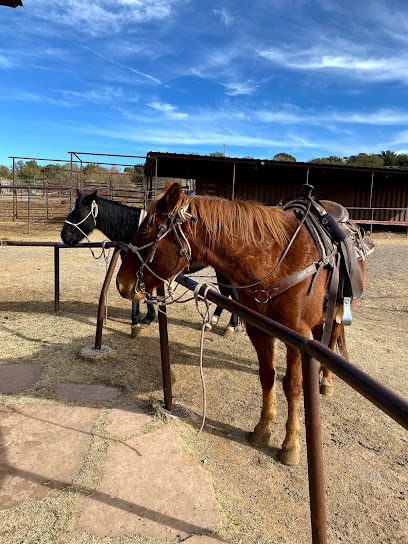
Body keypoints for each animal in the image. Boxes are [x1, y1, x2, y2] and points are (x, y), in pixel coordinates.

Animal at [60, 190, 239, 336]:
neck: (133, 228)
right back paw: (213, 322)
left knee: (231, 294)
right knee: (226, 293)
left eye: (77, 212)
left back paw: (230, 325)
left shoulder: (138, 269)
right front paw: (147, 317)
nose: (64, 236)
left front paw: (137, 323)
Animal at [115, 182, 366, 464]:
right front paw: (263, 428)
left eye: (145, 230)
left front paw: (290, 444)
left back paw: (326, 381)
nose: (121, 282)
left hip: (336, 313)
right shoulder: (258, 330)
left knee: (331, 339)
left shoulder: (297, 337)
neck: (278, 260)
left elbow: (292, 386)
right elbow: (267, 376)